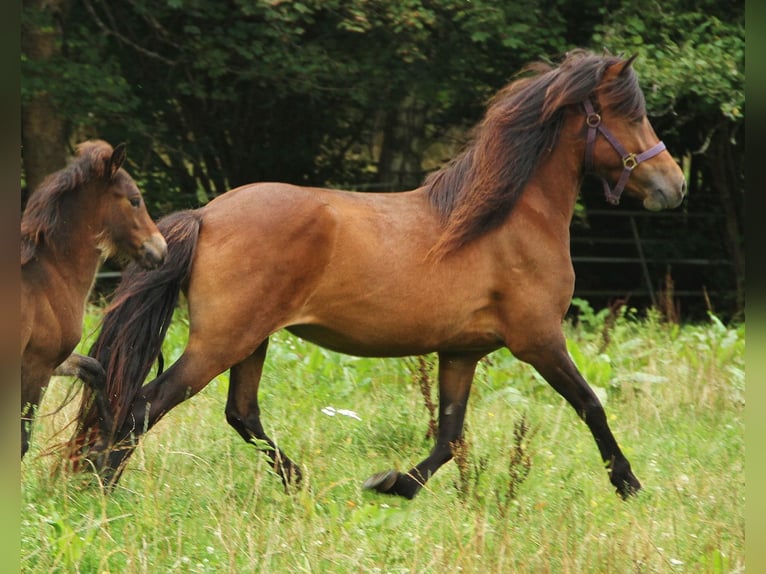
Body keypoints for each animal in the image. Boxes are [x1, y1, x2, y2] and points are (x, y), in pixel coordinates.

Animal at [22, 143, 168, 460]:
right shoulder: (36, 367)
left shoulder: (57, 360)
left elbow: (96, 370)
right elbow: (22, 441)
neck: (48, 277)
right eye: (135, 200)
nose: (160, 250)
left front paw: (106, 436)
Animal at [72, 51, 688, 502]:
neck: (506, 221)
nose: (675, 185)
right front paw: (629, 484)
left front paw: (393, 485)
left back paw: (296, 481)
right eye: (629, 115)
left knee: (240, 413)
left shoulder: (461, 352)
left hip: (250, 341)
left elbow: (449, 436)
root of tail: (208, 214)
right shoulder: (538, 339)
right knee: (146, 405)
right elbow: (591, 405)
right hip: (221, 342)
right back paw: (99, 486)